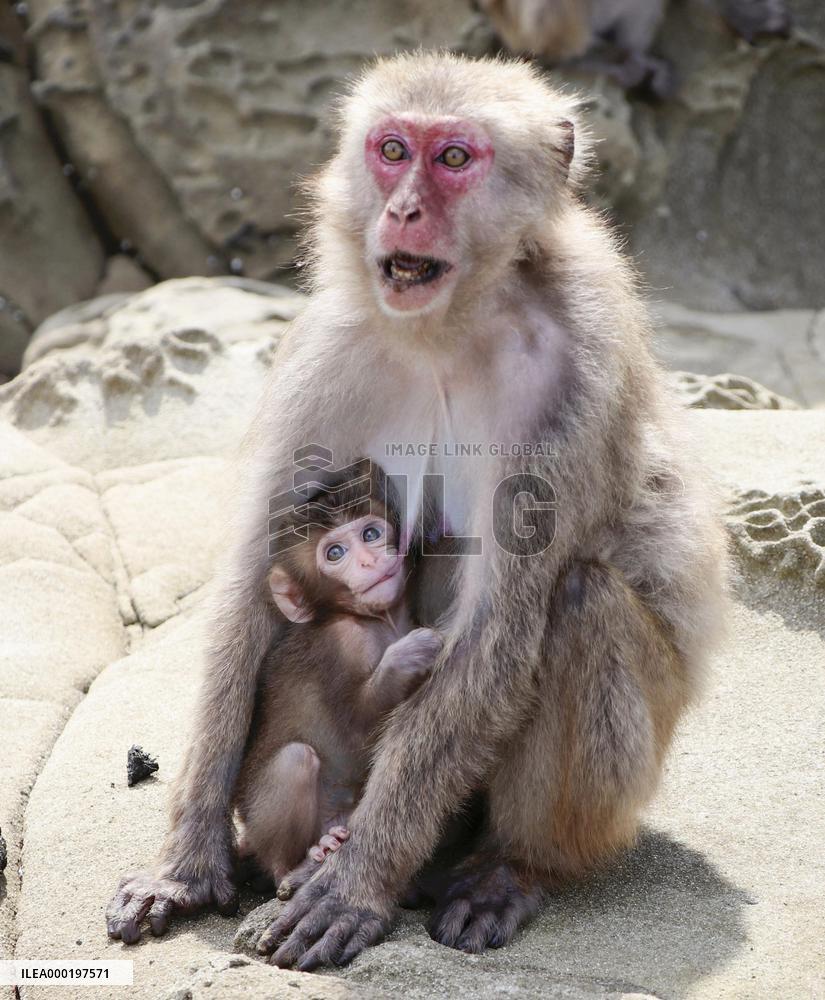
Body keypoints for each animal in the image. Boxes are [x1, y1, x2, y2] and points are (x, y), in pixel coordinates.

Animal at [234, 467, 442, 896]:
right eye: (334, 554)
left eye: (370, 534)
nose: (368, 560)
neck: (377, 621)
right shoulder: (341, 644)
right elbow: (356, 729)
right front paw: (410, 654)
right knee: (295, 760)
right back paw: (293, 866)